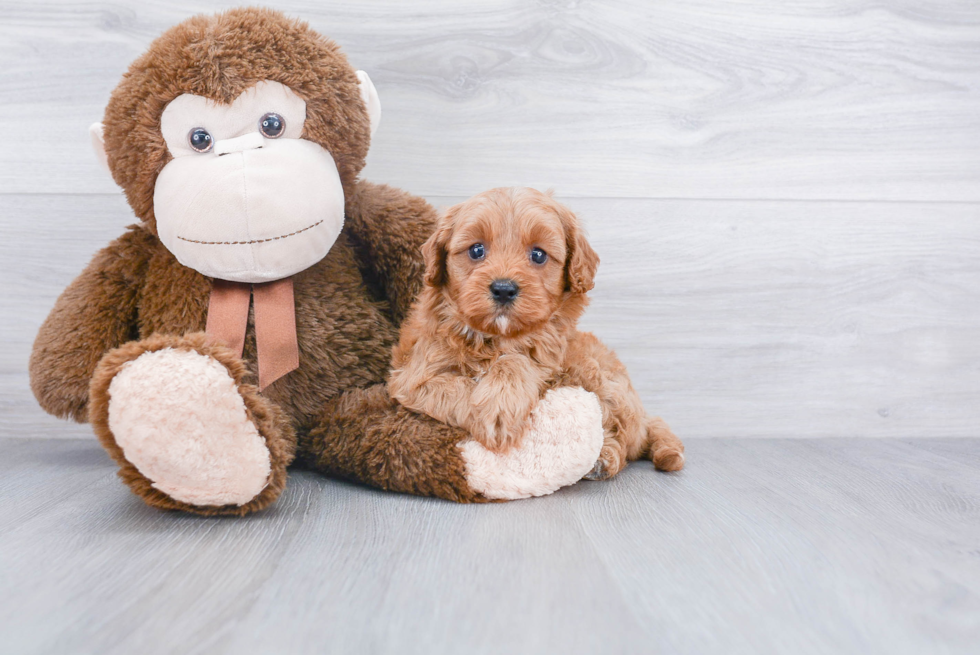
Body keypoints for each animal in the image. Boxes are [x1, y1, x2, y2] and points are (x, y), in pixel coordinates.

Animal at [386, 187, 684, 480]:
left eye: (538, 255)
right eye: (476, 250)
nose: (503, 289)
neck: (497, 338)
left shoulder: (547, 355)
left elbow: (516, 361)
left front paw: (500, 405)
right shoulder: (413, 377)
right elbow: (456, 385)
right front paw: (492, 415)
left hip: (595, 374)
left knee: (621, 433)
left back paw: (603, 458)